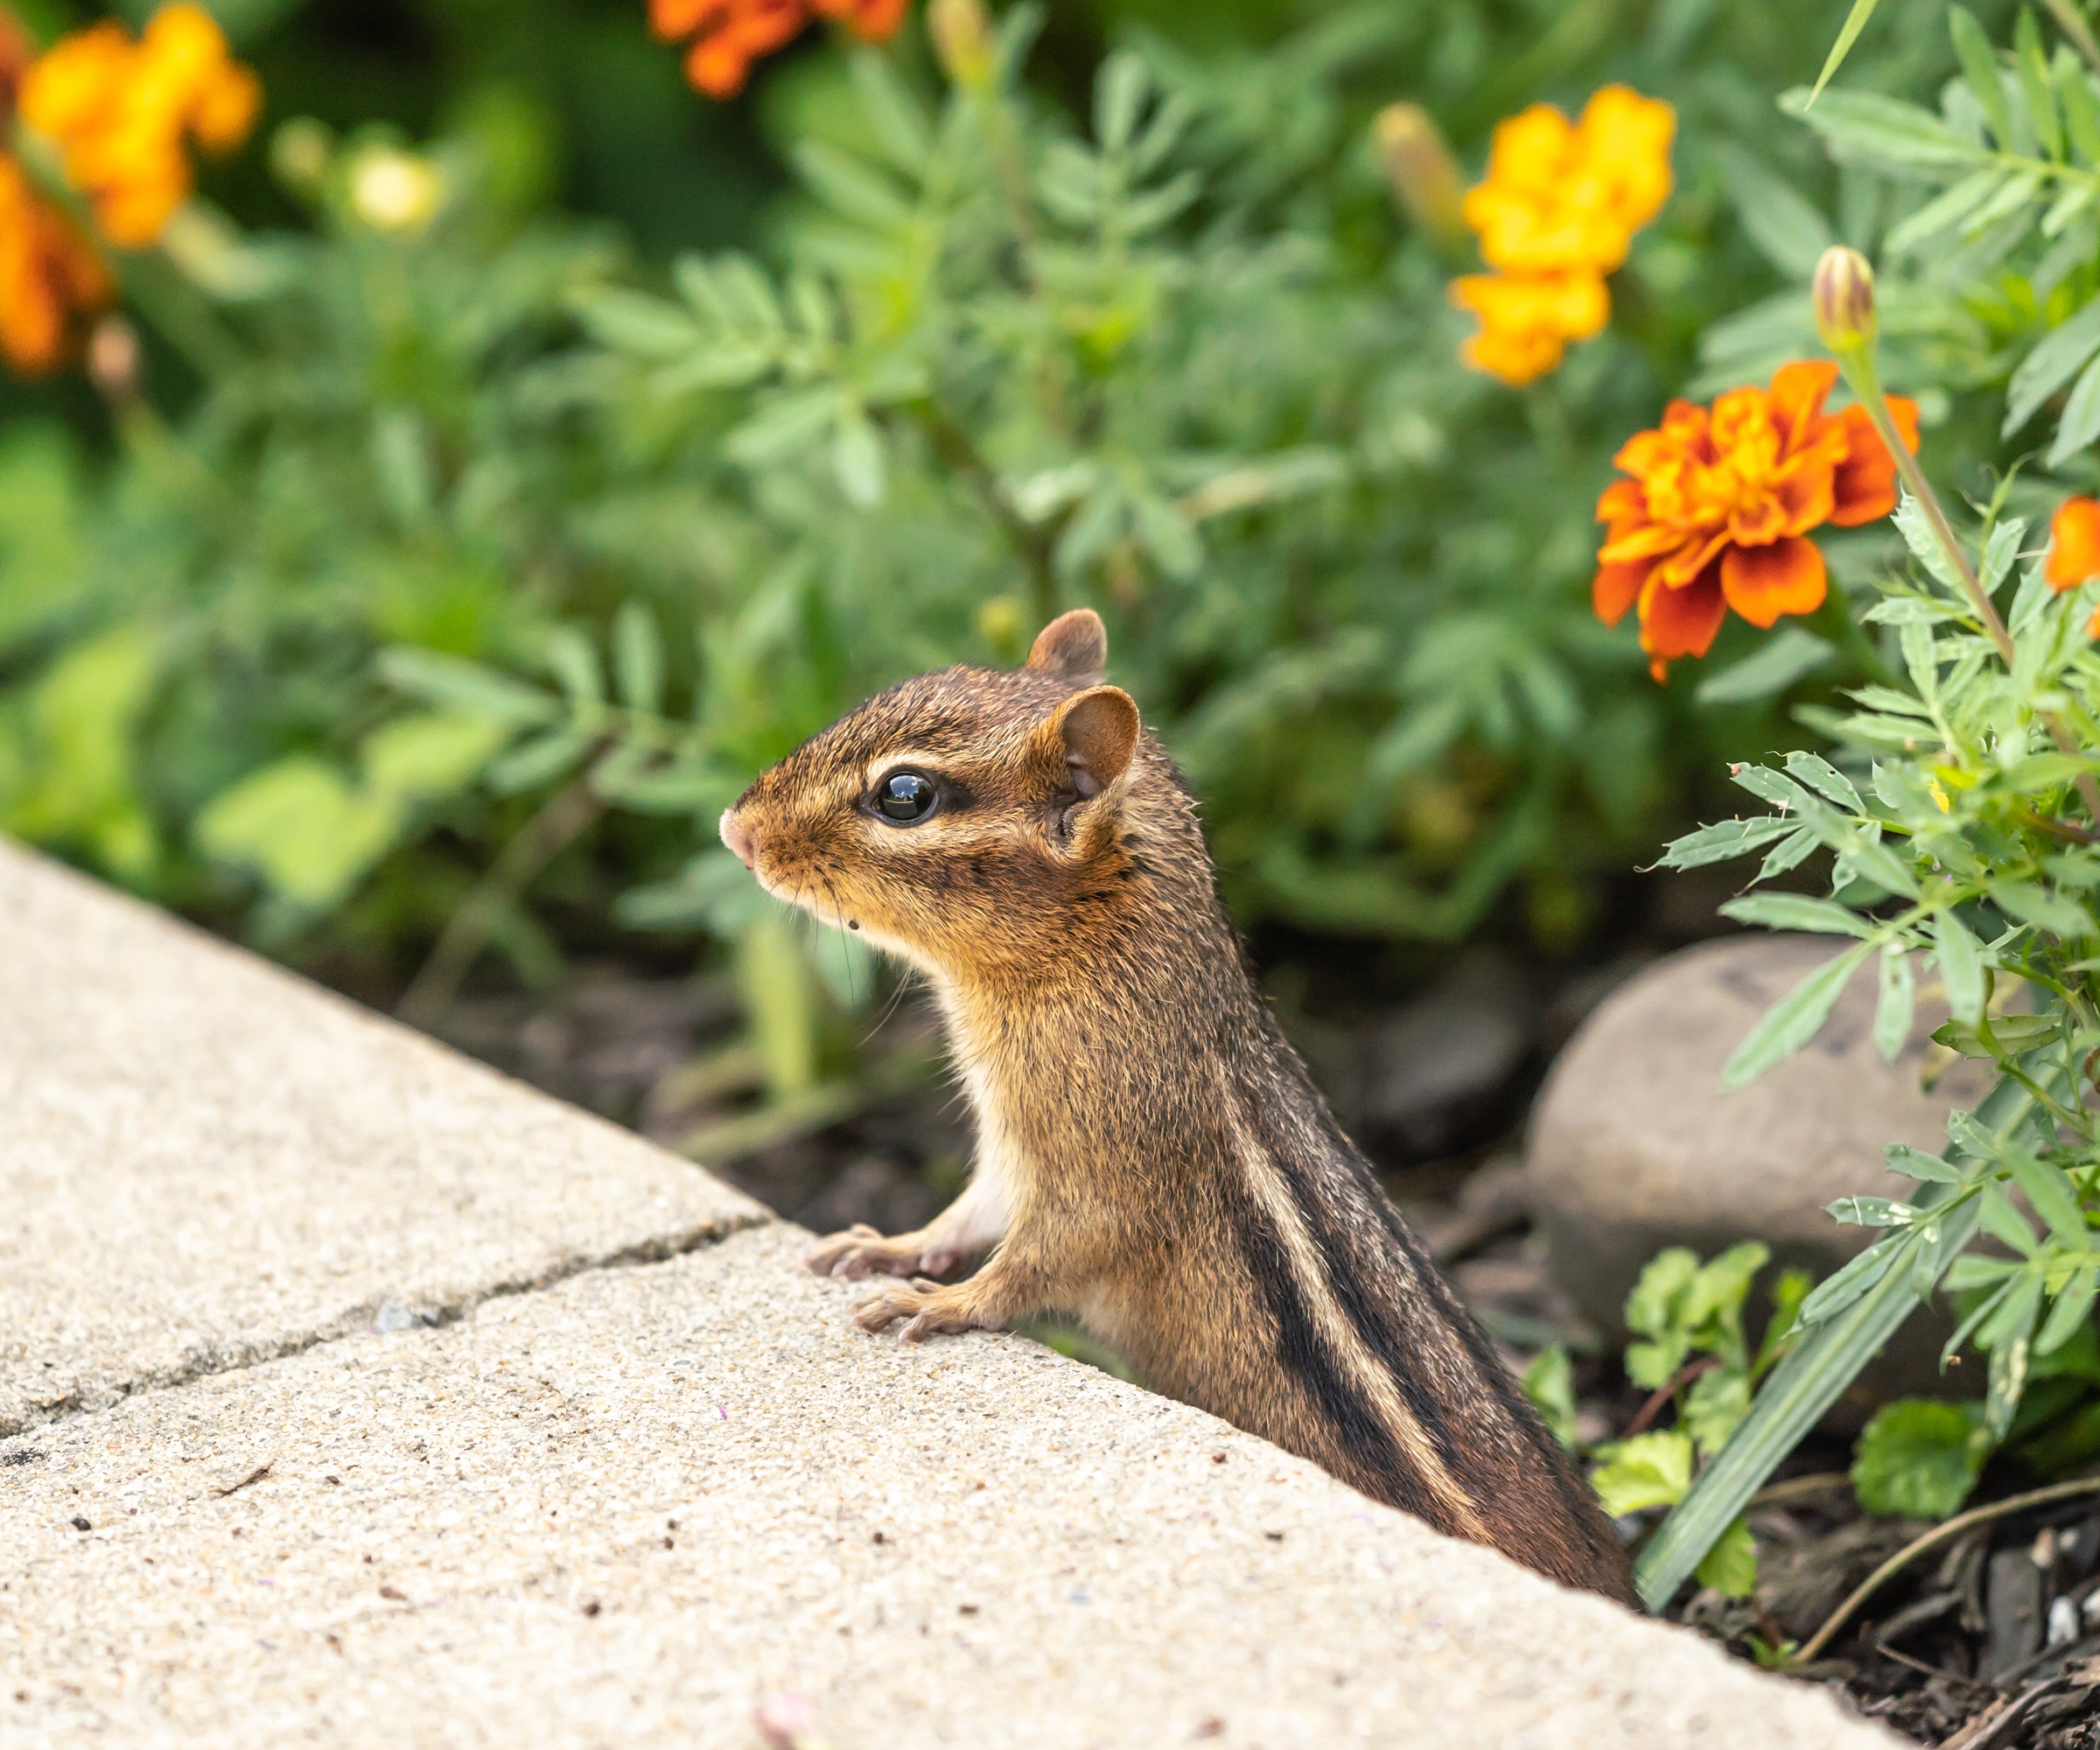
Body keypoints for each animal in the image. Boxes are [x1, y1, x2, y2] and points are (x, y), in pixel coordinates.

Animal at [718, 609, 1635, 1605]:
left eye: (906, 795)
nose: (735, 827)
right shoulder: (1011, 1151)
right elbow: (969, 1213)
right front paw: (887, 1246)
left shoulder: (1105, 1166)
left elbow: (1041, 1257)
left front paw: (950, 1301)